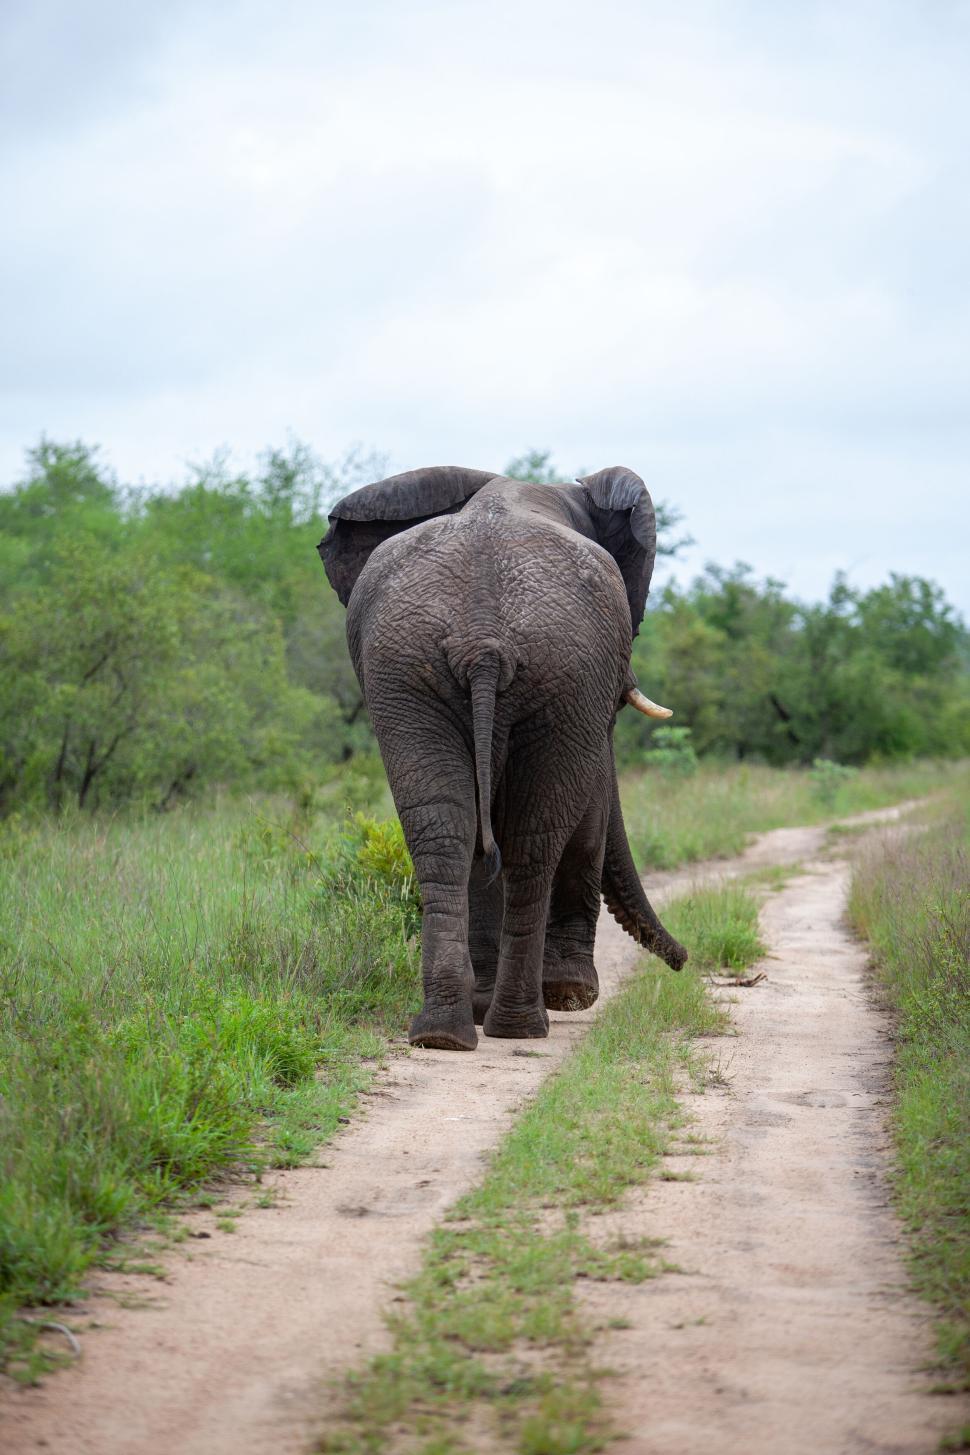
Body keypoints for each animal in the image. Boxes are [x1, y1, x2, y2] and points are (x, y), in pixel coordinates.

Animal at [318, 463, 688, 1051]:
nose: (684, 961)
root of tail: (483, 641)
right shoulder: (592, 696)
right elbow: (590, 811)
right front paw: (571, 993)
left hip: (406, 672)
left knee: (445, 831)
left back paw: (445, 1031)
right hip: (560, 673)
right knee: (534, 842)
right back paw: (522, 1022)